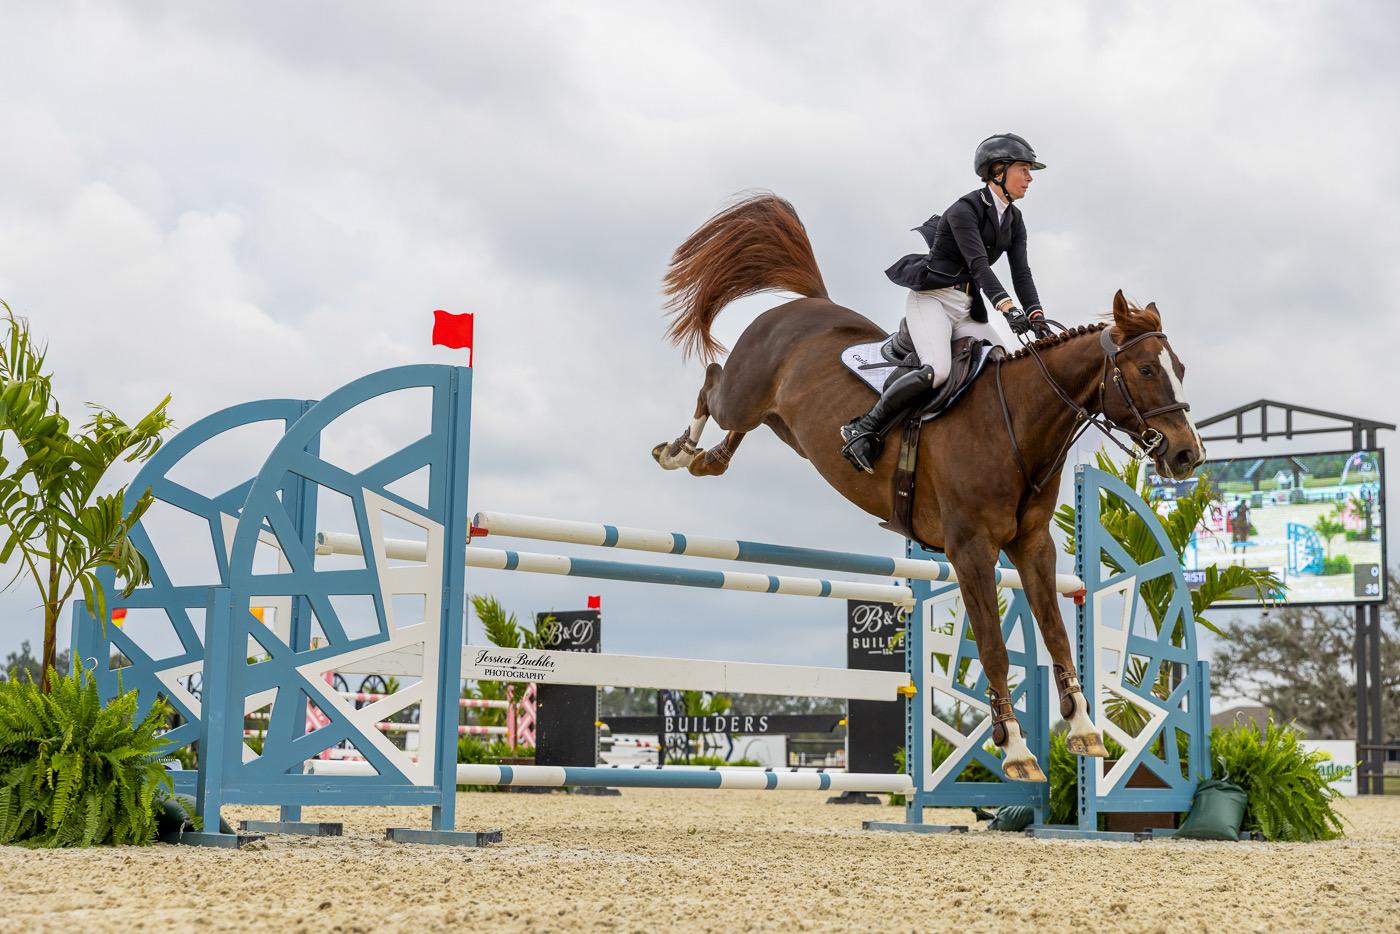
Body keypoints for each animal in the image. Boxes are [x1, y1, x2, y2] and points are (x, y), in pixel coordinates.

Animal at [650, 193, 1206, 782]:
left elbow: (1057, 633)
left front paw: (1083, 730)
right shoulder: (970, 551)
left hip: (784, 426)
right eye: (1146, 370)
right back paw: (678, 451)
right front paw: (1016, 751)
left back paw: (709, 460)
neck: (1015, 422)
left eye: (1180, 367)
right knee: (712, 383)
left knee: (740, 423)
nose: (1187, 454)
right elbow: (992, 648)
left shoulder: (1032, 545)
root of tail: (805, 307)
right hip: (745, 392)